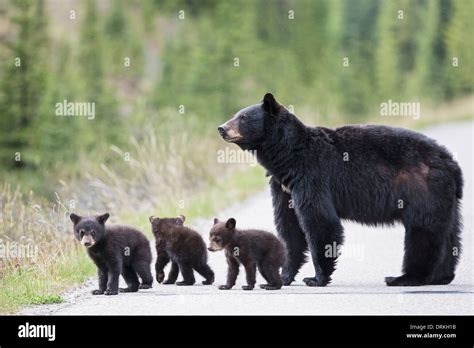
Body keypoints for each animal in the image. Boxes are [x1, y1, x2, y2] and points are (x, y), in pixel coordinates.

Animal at [218, 92, 462, 286]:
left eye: (243, 117)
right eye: (237, 114)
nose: (222, 128)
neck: (288, 156)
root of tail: (449, 162)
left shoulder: (312, 177)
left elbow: (320, 222)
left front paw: (316, 278)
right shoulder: (283, 187)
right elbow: (289, 228)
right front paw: (284, 276)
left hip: (422, 189)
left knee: (422, 233)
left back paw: (404, 278)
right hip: (445, 199)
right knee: (449, 234)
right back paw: (441, 276)